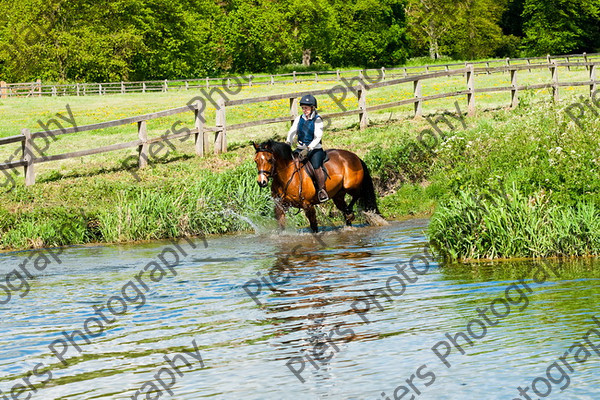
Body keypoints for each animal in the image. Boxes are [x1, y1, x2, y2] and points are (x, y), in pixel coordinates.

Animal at [252, 141, 380, 233]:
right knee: (344, 206)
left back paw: (349, 212)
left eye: (269, 160)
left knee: (359, 194)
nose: (261, 182)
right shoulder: (280, 206)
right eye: (256, 161)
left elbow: (314, 226)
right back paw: (348, 218)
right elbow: (281, 225)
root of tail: (355, 157)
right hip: (338, 195)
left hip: (351, 186)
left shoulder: (308, 205)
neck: (287, 175)